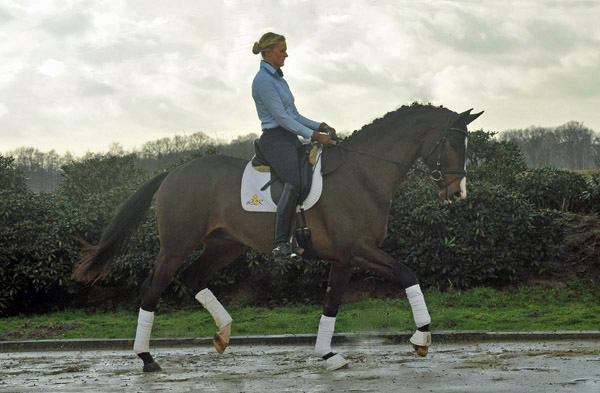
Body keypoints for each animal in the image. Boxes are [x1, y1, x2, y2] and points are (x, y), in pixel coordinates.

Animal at [71, 103, 482, 370]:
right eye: (452, 142)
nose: (458, 193)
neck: (364, 173)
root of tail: (174, 172)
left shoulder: (344, 258)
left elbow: (332, 303)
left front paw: (327, 354)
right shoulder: (358, 250)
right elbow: (408, 275)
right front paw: (422, 337)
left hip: (225, 244)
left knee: (193, 277)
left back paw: (223, 333)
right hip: (176, 245)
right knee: (152, 289)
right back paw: (146, 358)